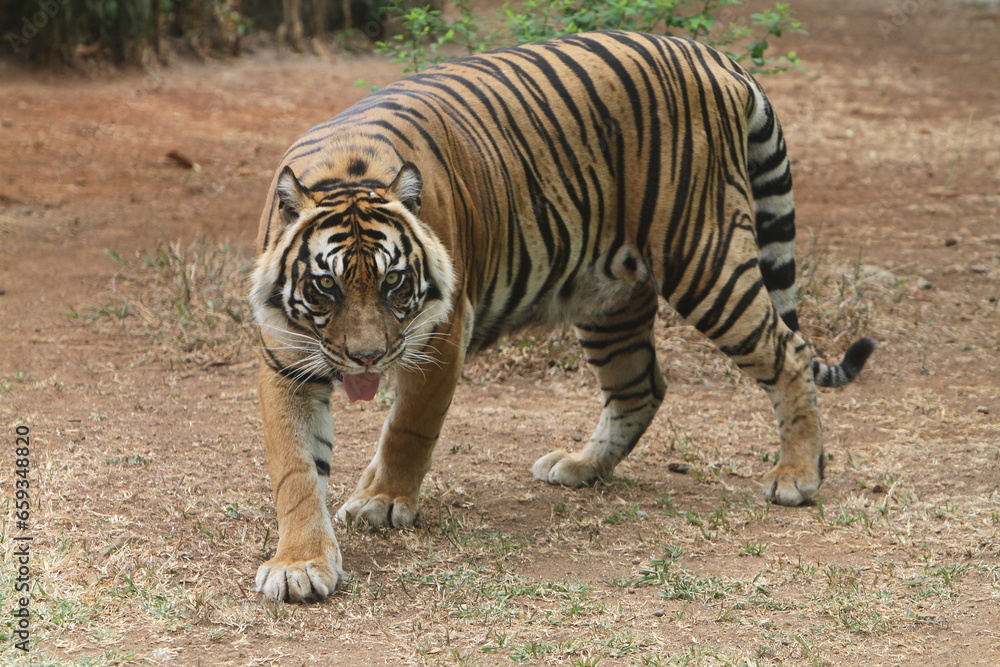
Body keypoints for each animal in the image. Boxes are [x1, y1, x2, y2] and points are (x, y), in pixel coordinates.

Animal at [249, 30, 875, 602]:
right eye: (326, 287)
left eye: (393, 282)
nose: (367, 358)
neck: (345, 170)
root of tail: (710, 54)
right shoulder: (286, 358)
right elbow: (296, 467)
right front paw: (300, 564)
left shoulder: (444, 331)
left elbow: (408, 428)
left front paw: (382, 501)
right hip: (609, 300)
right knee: (641, 387)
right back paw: (580, 466)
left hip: (707, 261)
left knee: (789, 352)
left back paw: (797, 477)